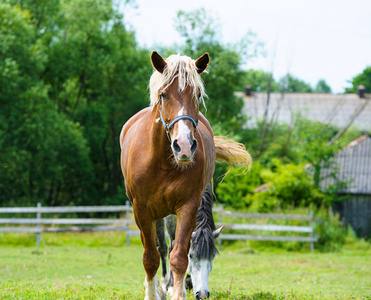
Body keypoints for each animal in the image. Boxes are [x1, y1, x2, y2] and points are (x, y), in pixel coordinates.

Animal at [122, 52, 253, 300]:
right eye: (163, 94)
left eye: (198, 94)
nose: (183, 146)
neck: (164, 163)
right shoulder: (141, 209)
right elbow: (151, 256)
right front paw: (155, 291)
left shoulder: (188, 206)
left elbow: (178, 255)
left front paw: (179, 289)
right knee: (159, 247)